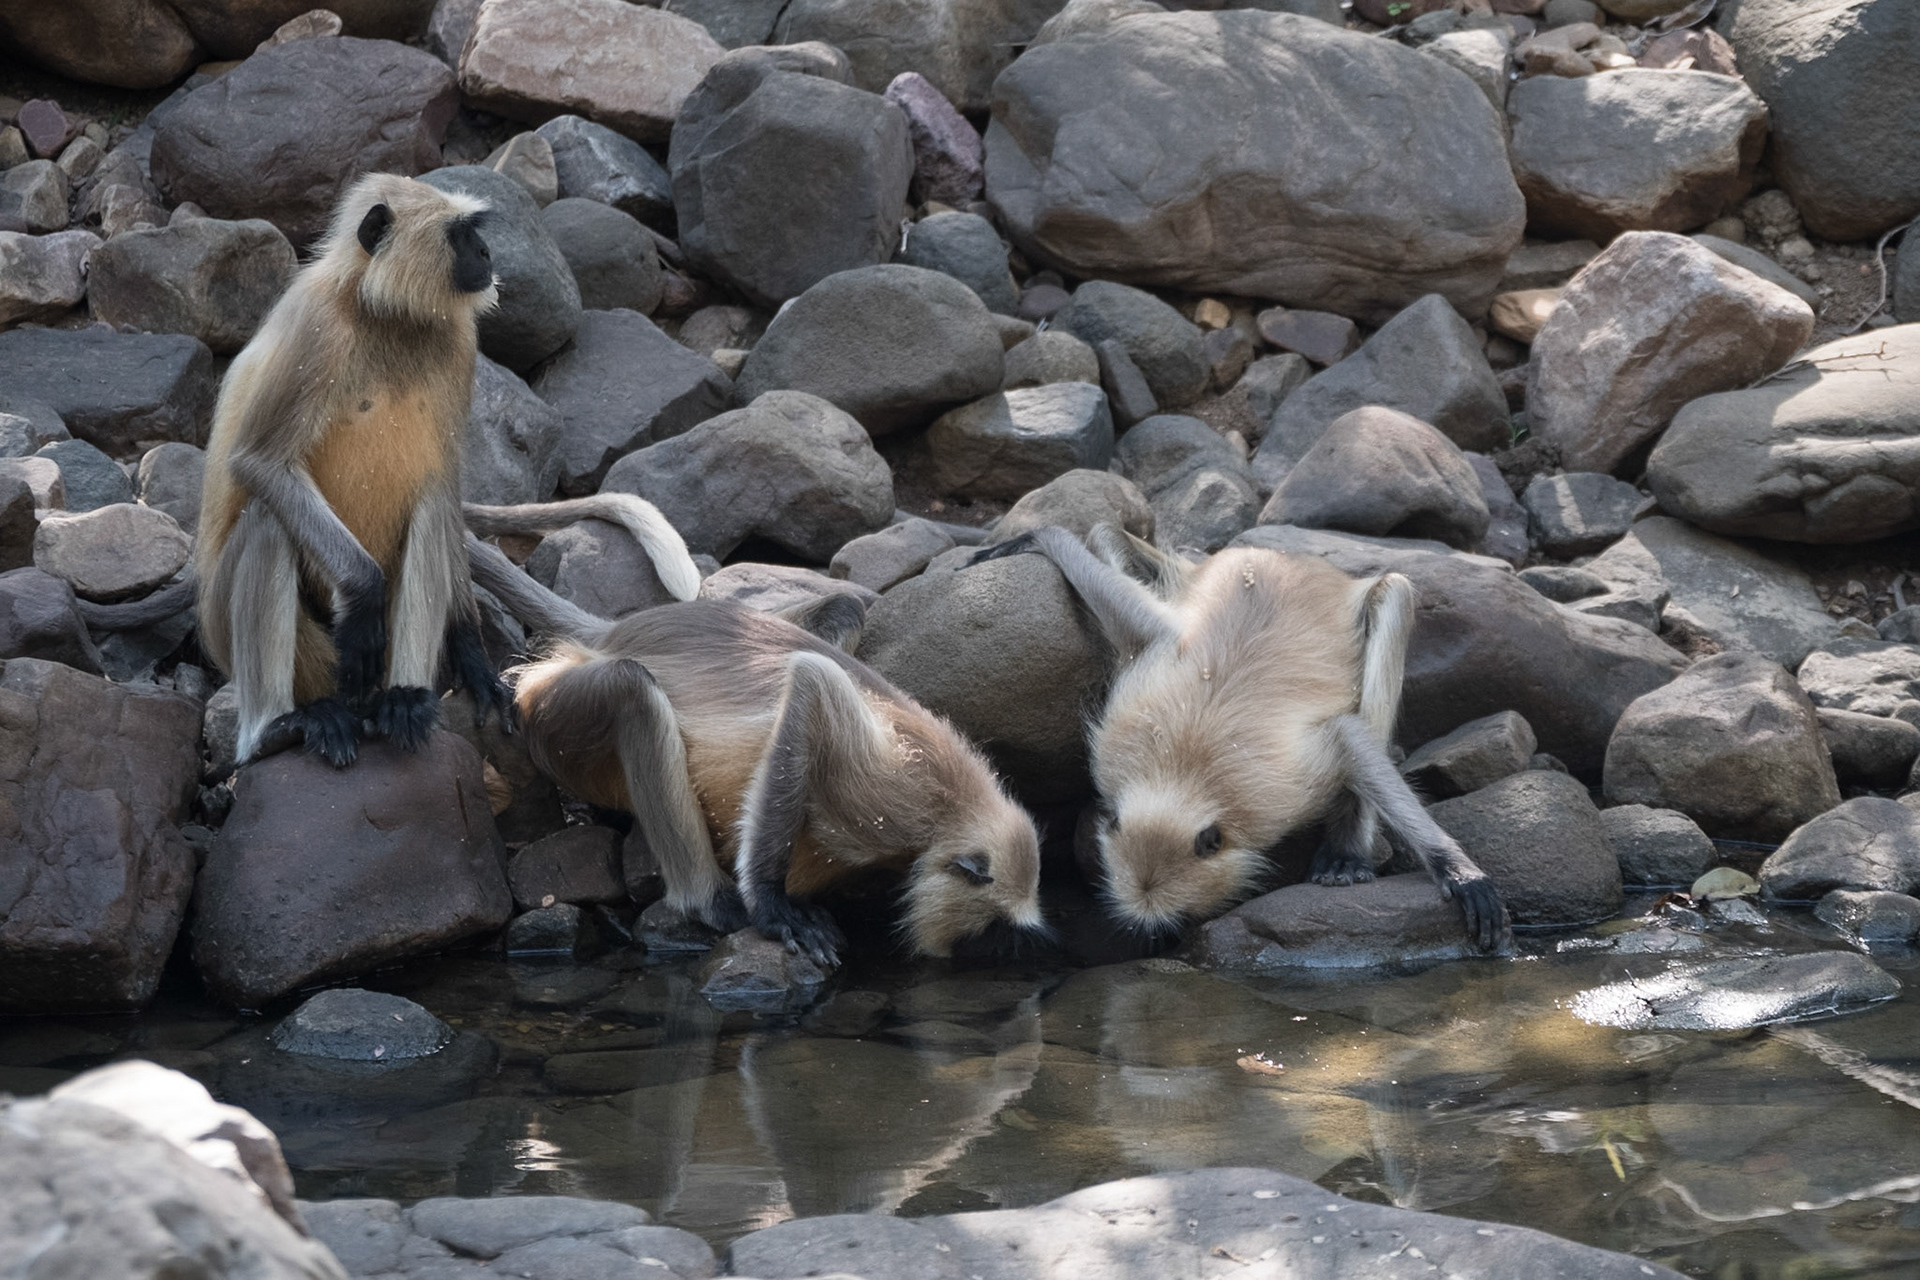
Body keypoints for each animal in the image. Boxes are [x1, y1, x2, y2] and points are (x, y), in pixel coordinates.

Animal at [192, 172, 698, 770]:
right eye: (460, 235)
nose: (485, 253)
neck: (383, 313)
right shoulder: (316, 329)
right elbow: (259, 462)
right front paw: (364, 593)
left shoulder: (459, 341)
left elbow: (446, 485)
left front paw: (473, 660)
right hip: (266, 644)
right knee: (269, 521)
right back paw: (276, 728)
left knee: (433, 504)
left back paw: (405, 701)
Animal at [465, 534, 1048, 965]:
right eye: (991, 928)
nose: (979, 954)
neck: (953, 809)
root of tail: (614, 632)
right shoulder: (894, 797)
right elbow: (810, 686)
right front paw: (771, 907)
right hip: (550, 707)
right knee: (633, 692)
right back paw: (710, 901)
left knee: (844, 607)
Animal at [970, 524, 1511, 953]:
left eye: (1180, 919)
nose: (1165, 942)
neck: (1183, 771)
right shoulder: (1121, 736)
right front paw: (1037, 536)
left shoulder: (1282, 787)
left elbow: (1348, 737)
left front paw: (1457, 869)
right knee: (1119, 562)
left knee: (1394, 595)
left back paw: (1348, 850)